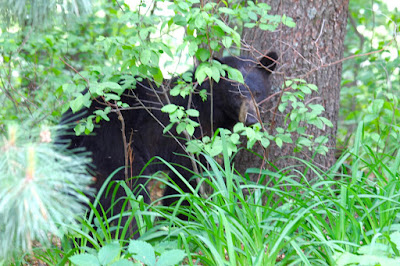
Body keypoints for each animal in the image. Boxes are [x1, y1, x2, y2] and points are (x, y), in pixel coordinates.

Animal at [60, 51, 278, 231]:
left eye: (257, 93)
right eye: (236, 93)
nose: (251, 120)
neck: (208, 106)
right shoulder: (190, 138)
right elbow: (187, 178)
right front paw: (182, 220)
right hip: (115, 148)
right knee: (122, 195)